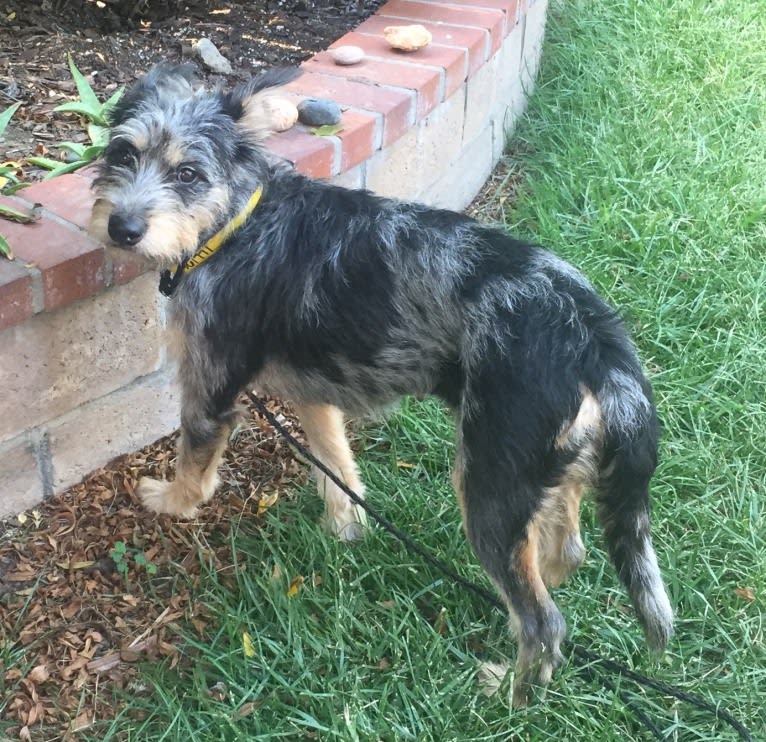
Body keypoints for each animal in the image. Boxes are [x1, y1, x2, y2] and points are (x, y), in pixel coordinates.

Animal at [93, 65, 676, 708]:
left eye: (188, 173)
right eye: (123, 153)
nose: (122, 229)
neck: (239, 219)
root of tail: (595, 337)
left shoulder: (209, 390)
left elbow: (194, 467)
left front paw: (170, 502)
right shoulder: (315, 396)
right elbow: (336, 465)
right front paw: (345, 529)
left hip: (489, 487)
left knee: (544, 623)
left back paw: (507, 694)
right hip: (548, 470)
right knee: (563, 554)